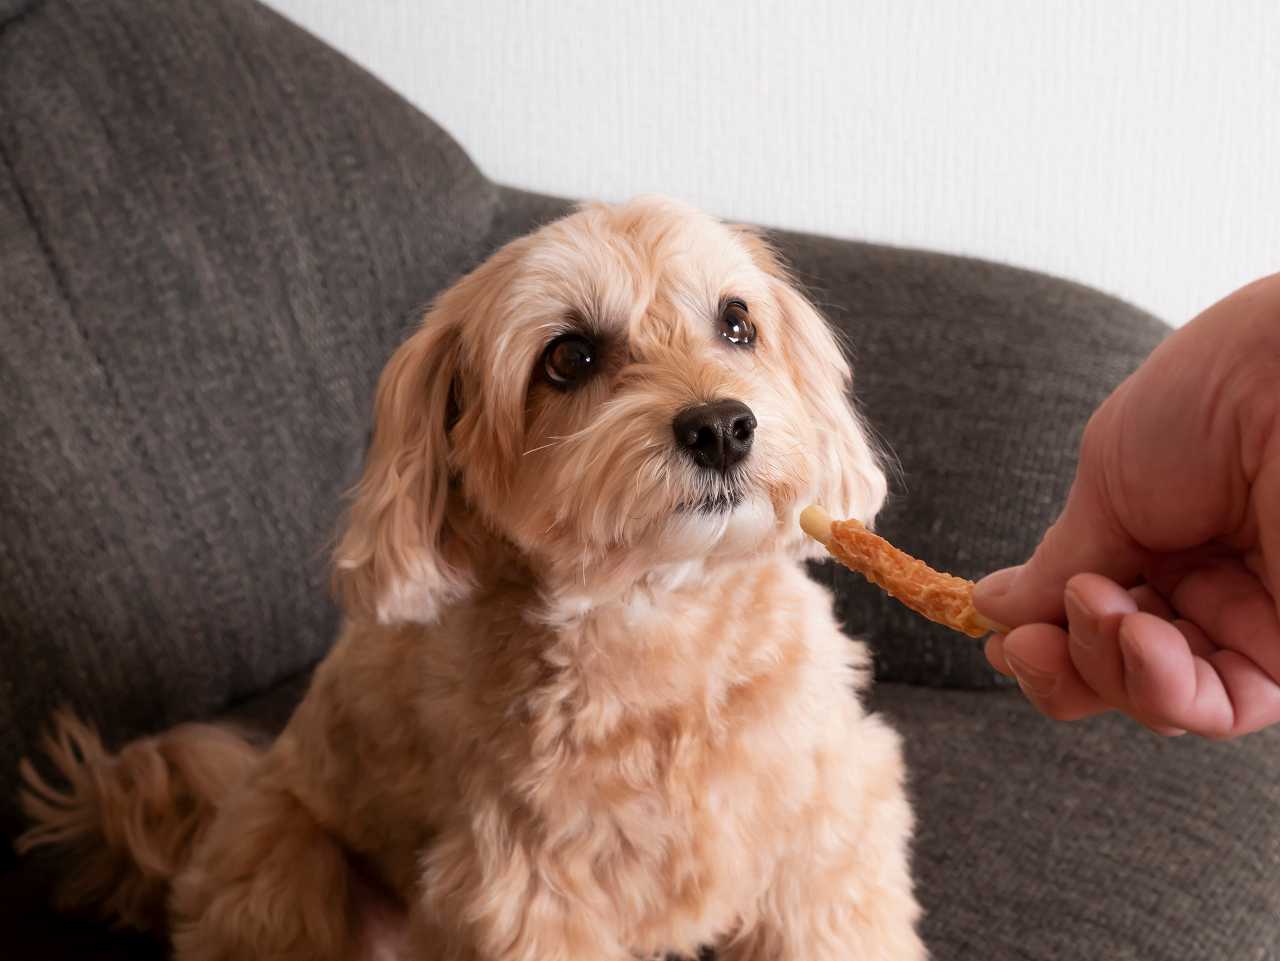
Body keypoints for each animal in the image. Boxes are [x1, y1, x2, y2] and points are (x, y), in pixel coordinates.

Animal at [17, 197, 921, 961]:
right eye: (569, 356)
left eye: (737, 322)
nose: (723, 426)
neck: (664, 621)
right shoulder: (530, 895)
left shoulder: (829, 839)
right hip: (282, 867)